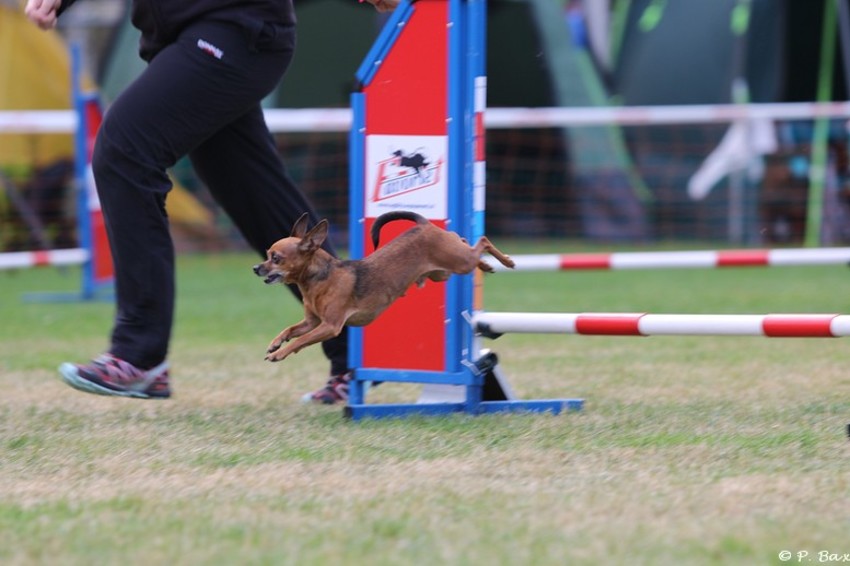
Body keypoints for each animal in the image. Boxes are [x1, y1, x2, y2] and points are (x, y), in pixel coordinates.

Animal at [253, 210, 515, 362]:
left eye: (276, 258)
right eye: (267, 254)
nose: (256, 268)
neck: (318, 279)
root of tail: (423, 225)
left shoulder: (330, 326)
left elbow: (301, 341)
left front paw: (279, 353)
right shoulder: (312, 322)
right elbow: (290, 330)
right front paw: (276, 343)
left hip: (459, 262)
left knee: (482, 241)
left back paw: (506, 261)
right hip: (443, 271)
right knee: (462, 239)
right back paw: (485, 264)